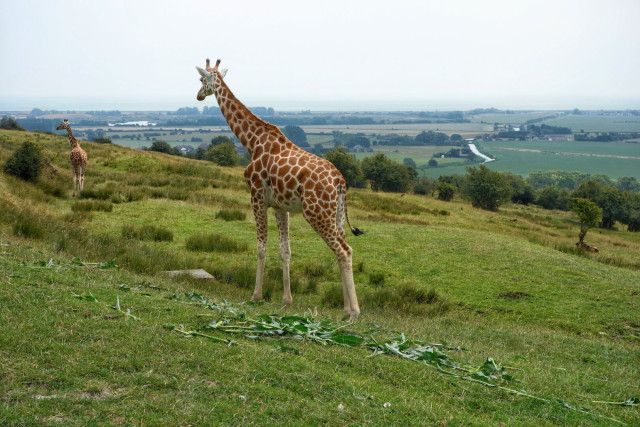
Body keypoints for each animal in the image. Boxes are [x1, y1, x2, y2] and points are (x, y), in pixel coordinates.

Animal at [196, 59, 364, 321]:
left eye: (202, 80)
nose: (198, 96)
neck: (252, 141)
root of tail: (339, 181)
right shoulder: (279, 206)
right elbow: (285, 250)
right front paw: (287, 301)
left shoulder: (256, 196)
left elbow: (260, 247)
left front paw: (256, 295)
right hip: (335, 215)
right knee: (342, 250)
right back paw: (345, 309)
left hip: (316, 213)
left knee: (344, 251)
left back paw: (354, 313)